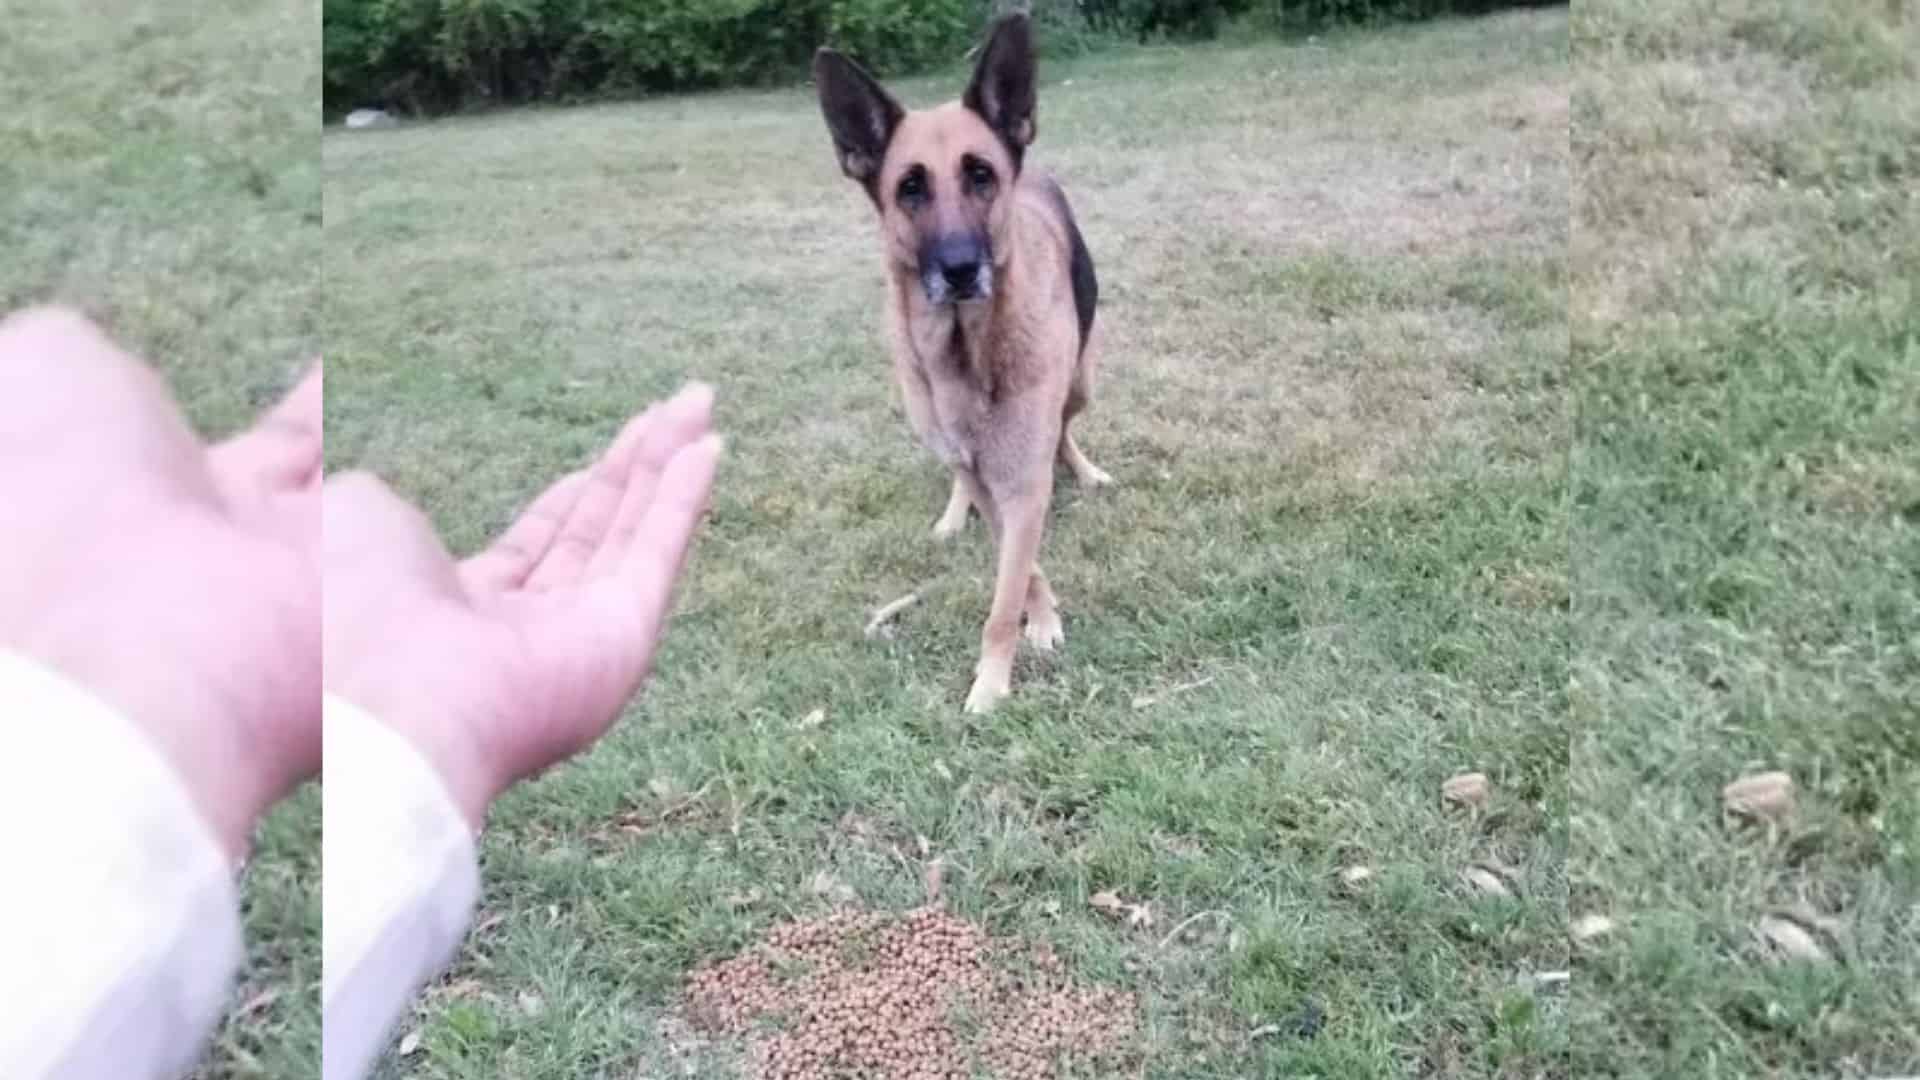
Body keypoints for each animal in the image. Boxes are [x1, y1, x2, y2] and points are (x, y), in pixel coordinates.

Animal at [810, 14, 1113, 714]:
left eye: (980, 175)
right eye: (910, 187)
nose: (958, 270)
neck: (967, 353)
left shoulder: (1023, 478)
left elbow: (1007, 589)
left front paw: (994, 680)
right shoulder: (987, 473)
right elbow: (1018, 564)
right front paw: (1040, 618)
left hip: (1081, 383)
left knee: (1067, 427)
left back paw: (1083, 470)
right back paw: (953, 516)